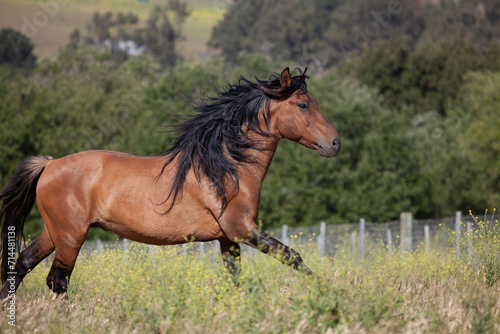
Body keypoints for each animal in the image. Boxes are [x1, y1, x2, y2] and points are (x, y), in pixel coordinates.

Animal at [0, 68, 340, 300]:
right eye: (303, 105)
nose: (335, 143)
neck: (228, 165)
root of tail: (49, 164)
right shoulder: (242, 228)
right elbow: (293, 256)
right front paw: (325, 292)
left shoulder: (227, 238)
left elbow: (235, 280)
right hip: (71, 237)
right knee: (58, 280)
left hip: (55, 233)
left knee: (23, 264)